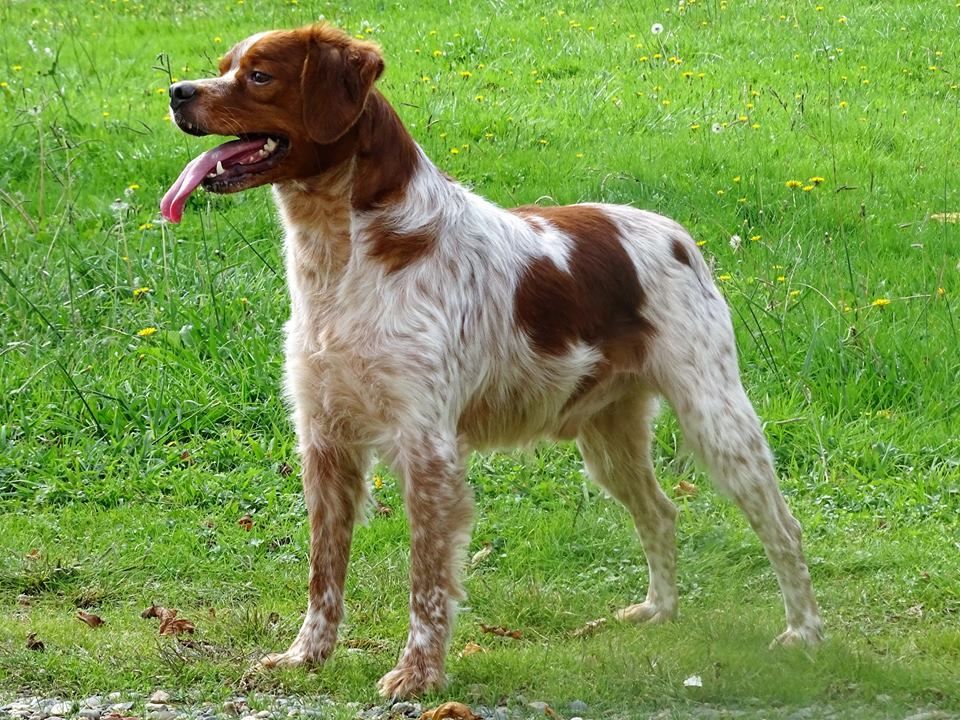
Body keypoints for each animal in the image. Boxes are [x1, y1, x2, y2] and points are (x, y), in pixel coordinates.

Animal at [161, 22, 820, 696]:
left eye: (260, 75)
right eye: (223, 65)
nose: (177, 91)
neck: (341, 258)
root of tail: (679, 234)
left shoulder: (427, 448)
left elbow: (427, 582)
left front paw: (418, 674)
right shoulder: (325, 440)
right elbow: (324, 572)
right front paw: (305, 657)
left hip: (718, 420)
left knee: (783, 528)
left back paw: (804, 634)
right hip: (609, 438)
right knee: (661, 514)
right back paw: (655, 612)